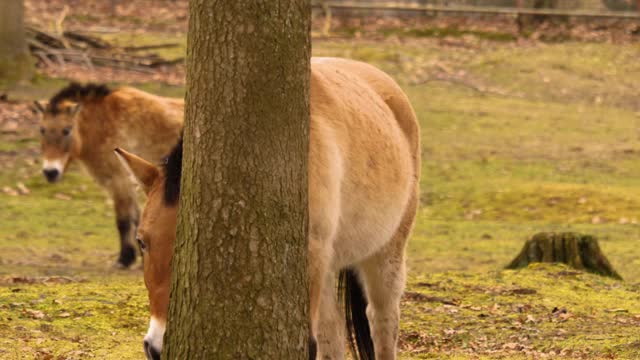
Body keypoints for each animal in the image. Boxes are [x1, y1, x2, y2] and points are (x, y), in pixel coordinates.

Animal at [34, 83, 184, 268]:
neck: (104, 121)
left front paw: (124, 259)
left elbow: (124, 220)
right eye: (42, 130)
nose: (50, 172)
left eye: (66, 130)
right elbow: (136, 218)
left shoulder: (120, 180)